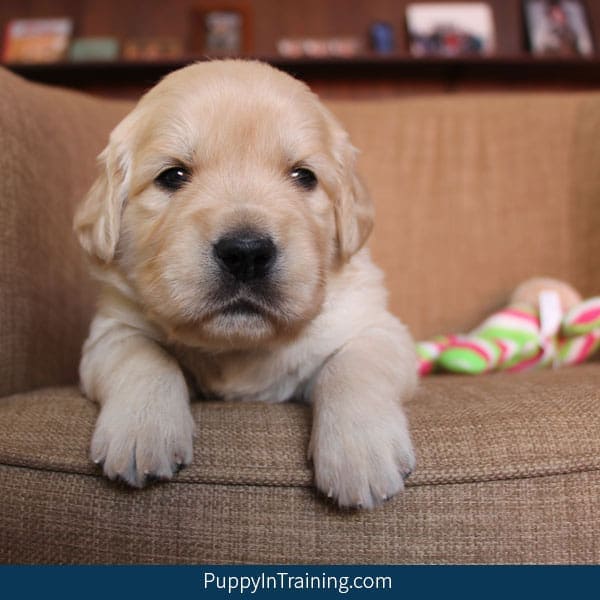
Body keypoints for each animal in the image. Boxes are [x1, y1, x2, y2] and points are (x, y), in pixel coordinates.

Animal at [72, 59, 414, 506]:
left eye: (304, 176)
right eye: (173, 175)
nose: (246, 253)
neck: (239, 346)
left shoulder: (378, 327)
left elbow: (352, 367)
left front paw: (360, 453)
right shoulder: (111, 330)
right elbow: (143, 356)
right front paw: (141, 431)